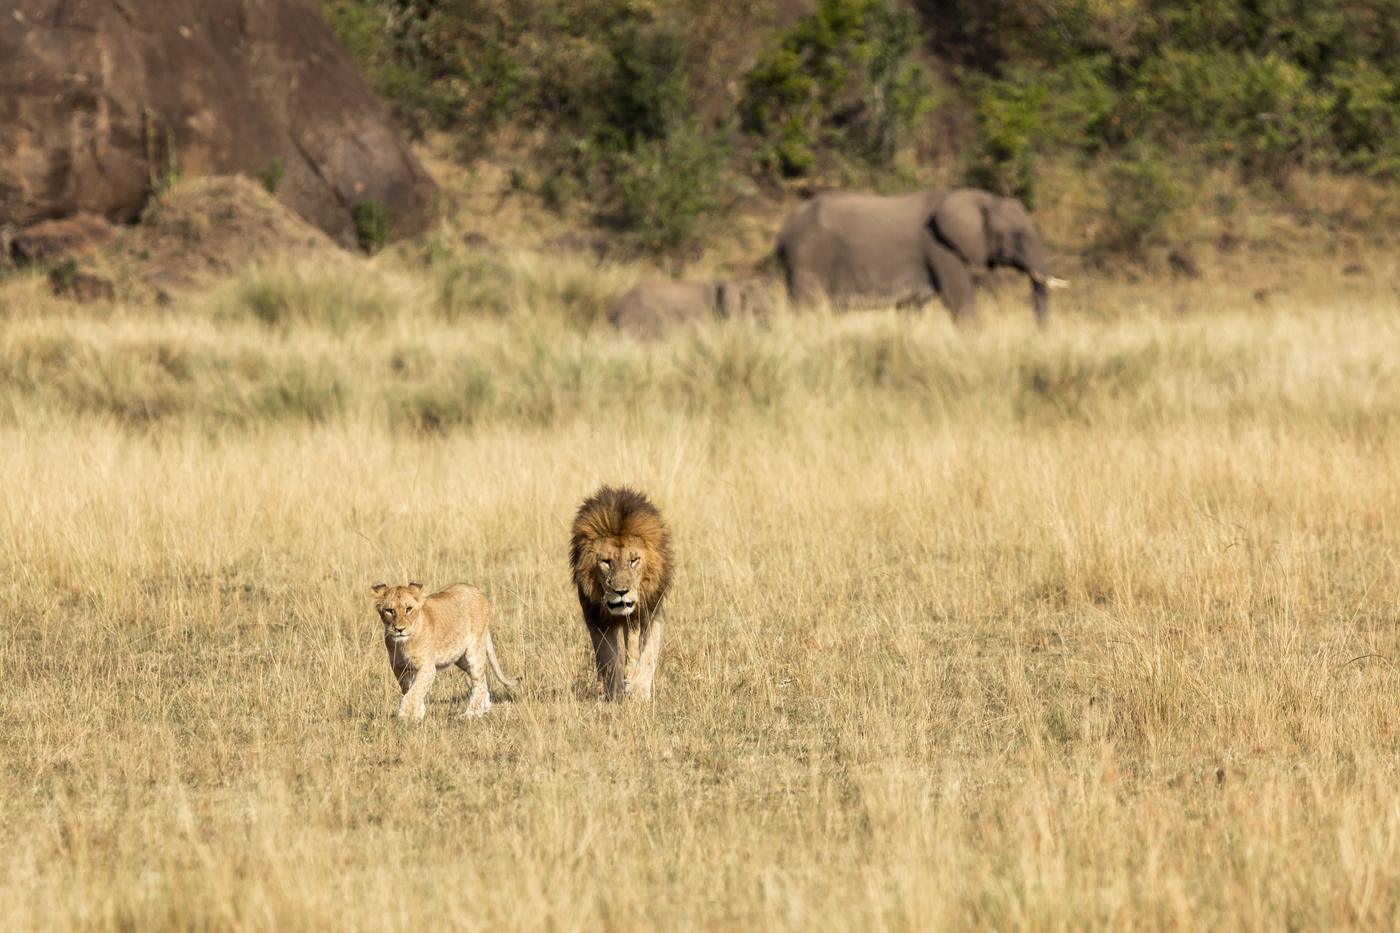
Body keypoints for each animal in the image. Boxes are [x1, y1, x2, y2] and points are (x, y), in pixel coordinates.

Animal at [370, 581, 519, 721]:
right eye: (389, 610)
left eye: (408, 609)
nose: (399, 629)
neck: (404, 644)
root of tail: (477, 591)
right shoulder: (399, 668)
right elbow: (410, 690)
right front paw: (417, 713)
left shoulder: (427, 668)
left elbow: (413, 693)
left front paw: (405, 717)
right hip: (460, 659)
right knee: (483, 680)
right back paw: (484, 708)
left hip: (474, 652)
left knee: (479, 683)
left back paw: (471, 714)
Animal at [569, 485, 673, 700]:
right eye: (606, 561)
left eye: (634, 560)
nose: (621, 592)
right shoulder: (596, 617)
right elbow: (607, 657)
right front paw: (614, 692)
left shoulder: (651, 612)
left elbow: (648, 653)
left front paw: (638, 691)